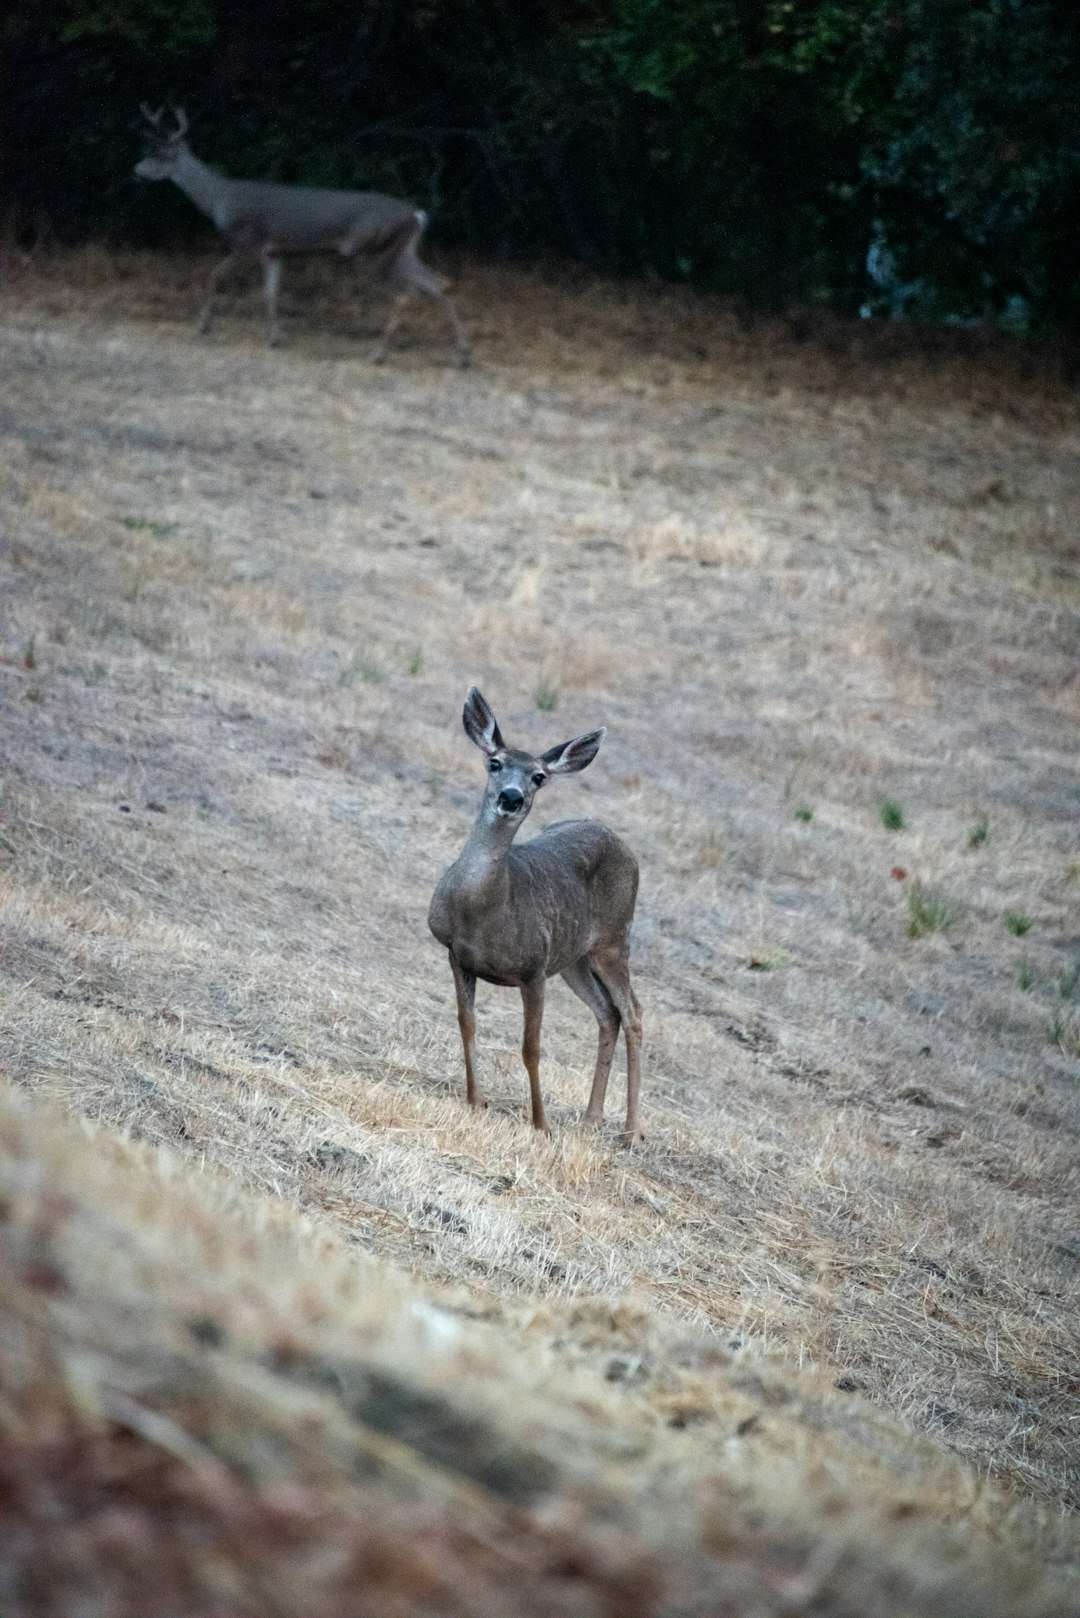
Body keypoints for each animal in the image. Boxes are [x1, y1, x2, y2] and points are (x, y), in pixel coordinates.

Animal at [131, 104, 469, 364]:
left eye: (159, 154)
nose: (136, 170)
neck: (218, 199)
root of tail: (416, 214)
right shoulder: (274, 251)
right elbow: (271, 291)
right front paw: (275, 338)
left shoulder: (247, 241)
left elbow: (217, 276)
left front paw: (203, 326)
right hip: (402, 251)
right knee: (438, 284)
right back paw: (462, 356)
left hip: (370, 251)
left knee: (406, 294)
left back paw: (378, 354)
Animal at [427, 689, 647, 1145]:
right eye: (495, 762)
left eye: (539, 777)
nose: (511, 797)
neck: (482, 909)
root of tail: (621, 843)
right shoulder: (458, 956)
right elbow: (467, 1025)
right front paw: (476, 1100)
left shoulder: (533, 968)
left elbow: (531, 1048)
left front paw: (541, 1123)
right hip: (574, 959)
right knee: (608, 1014)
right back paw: (591, 1119)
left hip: (614, 941)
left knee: (634, 1013)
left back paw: (632, 1132)